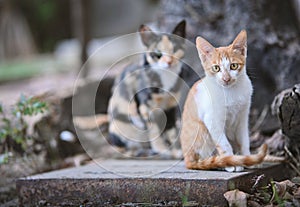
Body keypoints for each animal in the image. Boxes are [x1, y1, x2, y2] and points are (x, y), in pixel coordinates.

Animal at [106, 20, 189, 158]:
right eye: (158, 53)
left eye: (175, 49)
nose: (169, 62)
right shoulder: (146, 108)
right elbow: (155, 131)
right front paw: (162, 149)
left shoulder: (171, 106)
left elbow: (171, 130)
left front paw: (177, 151)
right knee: (128, 147)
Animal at [179, 30, 268, 171]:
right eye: (216, 68)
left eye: (233, 66)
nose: (226, 79)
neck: (231, 92)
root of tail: (187, 159)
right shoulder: (212, 119)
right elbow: (224, 144)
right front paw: (231, 162)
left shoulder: (243, 117)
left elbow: (244, 140)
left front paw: (248, 158)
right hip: (201, 132)